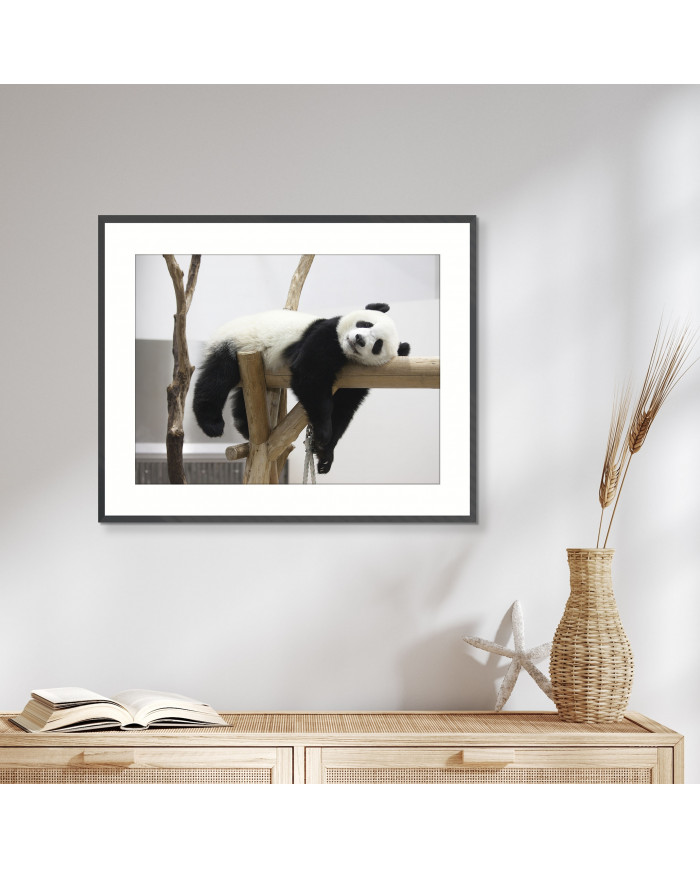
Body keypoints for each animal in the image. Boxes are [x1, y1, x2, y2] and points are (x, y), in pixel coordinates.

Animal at [192, 303, 411, 474]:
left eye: (378, 345)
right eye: (365, 324)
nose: (359, 339)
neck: (347, 356)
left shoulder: (359, 378)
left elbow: (343, 409)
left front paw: (325, 453)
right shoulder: (327, 334)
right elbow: (309, 374)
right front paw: (323, 432)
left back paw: (245, 426)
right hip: (236, 343)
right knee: (217, 377)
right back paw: (212, 423)